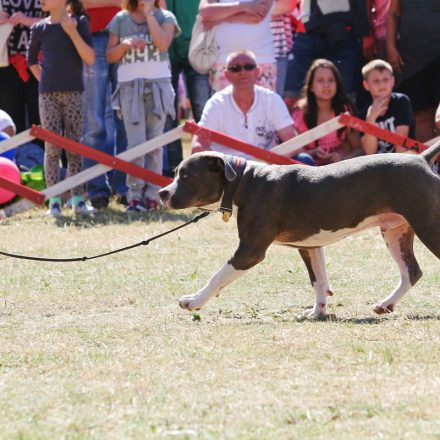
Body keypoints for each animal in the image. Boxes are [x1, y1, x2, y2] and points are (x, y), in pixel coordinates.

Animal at [160, 143, 440, 318]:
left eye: (186, 176)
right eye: (175, 173)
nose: (162, 193)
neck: (243, 182)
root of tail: (421, 159)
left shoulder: (250, 251)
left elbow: (217, 276)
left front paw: (193, 301)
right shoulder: (310, 245)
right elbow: (319, 281)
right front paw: (318, 312)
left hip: (427, 226)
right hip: (394, 232)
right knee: (411, 272)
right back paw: (385, 304)